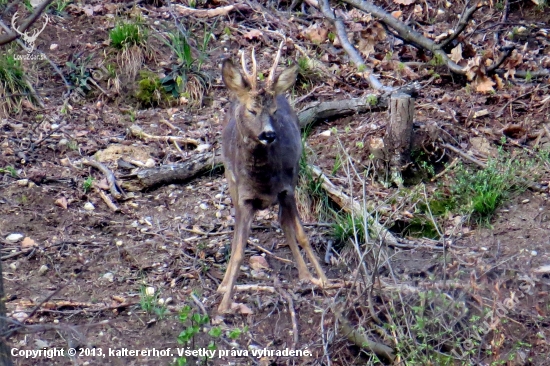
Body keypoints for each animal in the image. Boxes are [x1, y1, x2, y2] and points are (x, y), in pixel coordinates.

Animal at [219, 45, 332, 314]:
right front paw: (223, 305)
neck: (263, 179)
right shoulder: (245, 197)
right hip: (230, 182)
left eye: (274, 112)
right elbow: (238, 249)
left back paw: (305, 274)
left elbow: (301, 234)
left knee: (284, 222)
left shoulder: (286, 188)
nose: (269, 134)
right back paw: (223, 284)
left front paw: (325, 280)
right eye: (252, 110)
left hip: (294, 176)